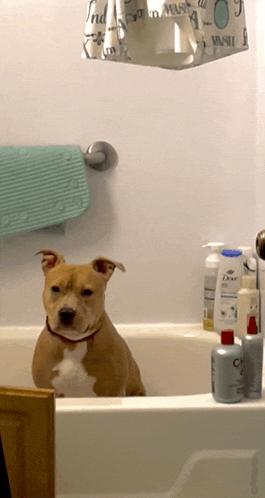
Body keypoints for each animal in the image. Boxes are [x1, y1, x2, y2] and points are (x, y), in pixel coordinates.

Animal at [32, 251, 145, 398]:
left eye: (87, 292)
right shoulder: (46, 389)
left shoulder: (114, 392)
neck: (73, 342)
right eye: (55, 289)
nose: (66, 312)